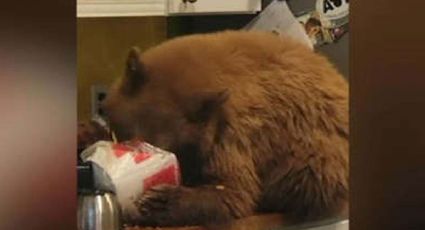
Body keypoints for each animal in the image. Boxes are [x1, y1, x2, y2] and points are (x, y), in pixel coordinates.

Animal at [102, 30, 348, 226]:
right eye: (127, 136)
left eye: (165, 146)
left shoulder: (231, 133)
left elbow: (234, 193)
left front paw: (158, 201)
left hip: (314, 153)